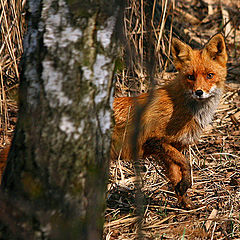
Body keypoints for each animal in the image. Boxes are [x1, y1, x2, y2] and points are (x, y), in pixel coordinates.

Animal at [111, 33, 228, 208]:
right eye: (190, 77)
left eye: (209, 75)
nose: (199, 92)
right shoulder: (154, 141)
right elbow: (186, 163)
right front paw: (185, 186)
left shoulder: (170, 148)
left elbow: (175, 175)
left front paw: (185, 202)